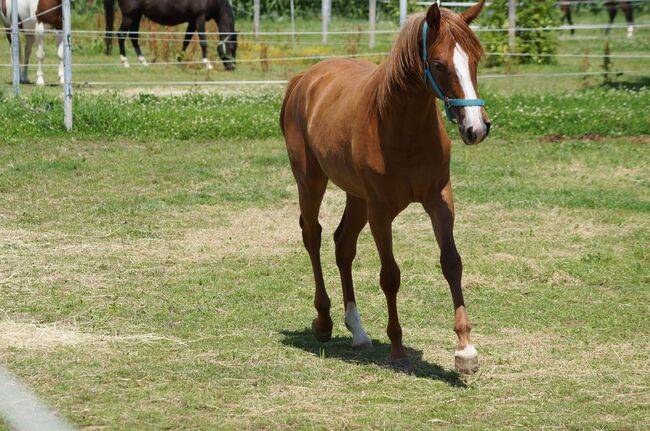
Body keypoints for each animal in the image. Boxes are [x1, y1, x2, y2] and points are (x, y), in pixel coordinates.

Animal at [105, 0, 237, 69]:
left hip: (136, 15)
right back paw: (125, 62)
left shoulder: (192, 21)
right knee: (121, 35)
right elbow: (203, 42)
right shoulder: (200, 19)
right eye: (231, 48)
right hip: (129, 16)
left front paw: (179, 61)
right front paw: (207, 64)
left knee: (133, 36)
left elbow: (186, 42)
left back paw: (143, 61)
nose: (232, 67)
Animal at [280, 0, 488, 374]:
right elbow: (390, 275)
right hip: (311, 181)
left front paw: (466, 350)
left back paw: (358, 330)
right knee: (313, 236)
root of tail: (305, 79)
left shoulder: (439, 199)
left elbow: (452, 262)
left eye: (476, 58)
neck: (400, 126)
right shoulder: (381, 211)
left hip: (356, 197)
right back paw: (324, 322)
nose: (476, 128)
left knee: (342, 244)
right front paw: (397, 347)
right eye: (439, 64)